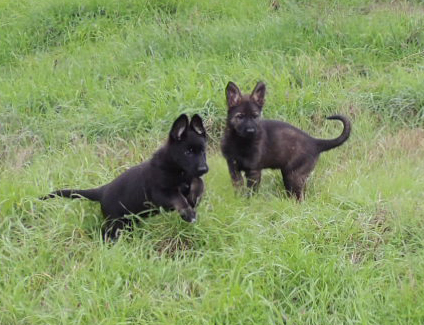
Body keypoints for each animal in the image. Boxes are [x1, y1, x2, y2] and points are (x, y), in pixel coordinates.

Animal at [40, 114, 210, 238]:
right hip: (116, 223)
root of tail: (103, 190)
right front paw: (187, 213)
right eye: (188, 152)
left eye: (203, 151)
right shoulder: (160, 193)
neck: (178, 169)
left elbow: (199, 182)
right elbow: (178, 198)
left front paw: (195, 198)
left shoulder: (191, 177)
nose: (204, 168)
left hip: (128, 221)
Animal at [220, 81, 350, 199]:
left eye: (255, 116)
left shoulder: (253, 171)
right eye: (240, 116)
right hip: (290, 175)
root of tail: (314, 142)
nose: (251, 131)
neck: (239, 141)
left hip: (294, 175)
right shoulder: (233, 168)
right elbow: (238, 188)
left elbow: (250, 193)